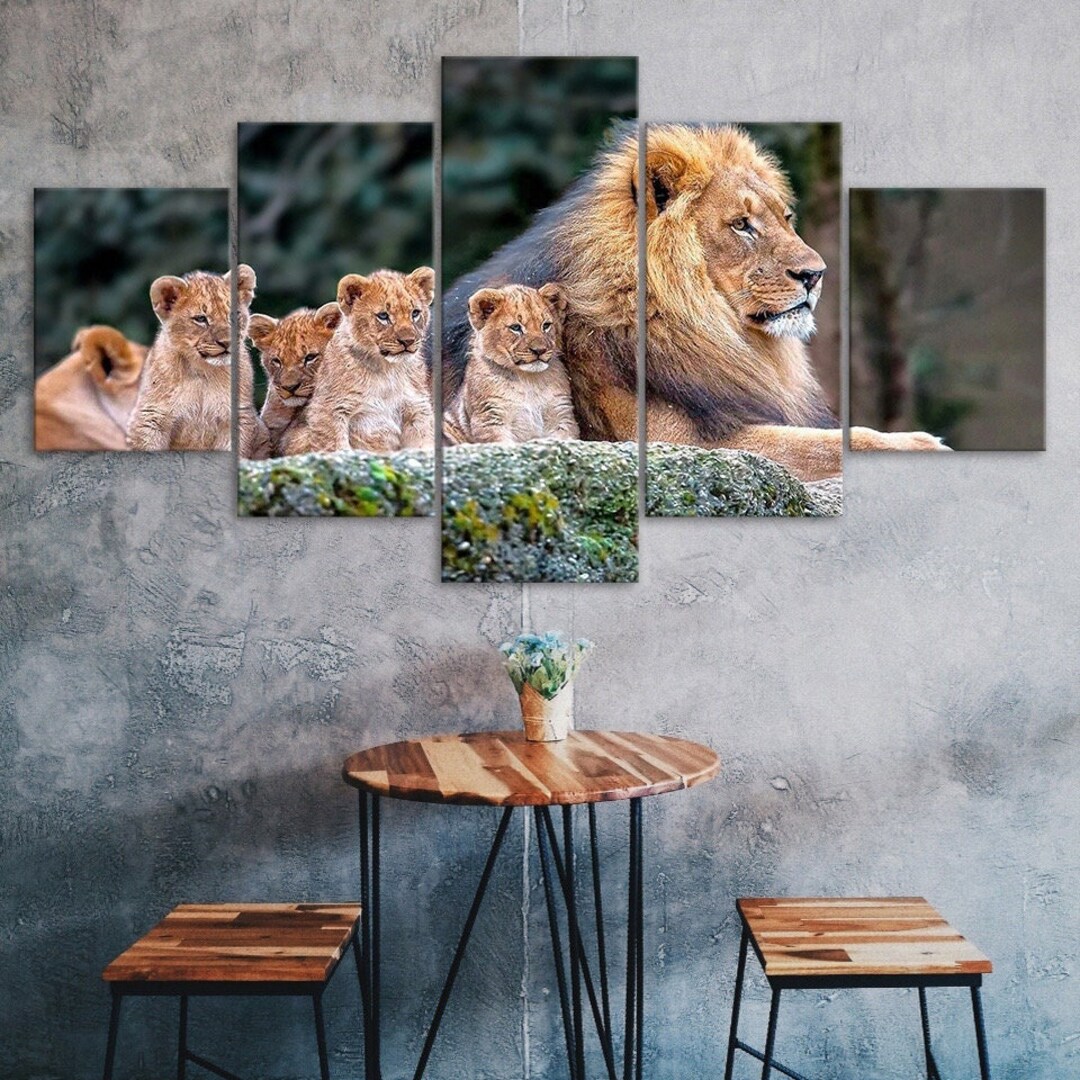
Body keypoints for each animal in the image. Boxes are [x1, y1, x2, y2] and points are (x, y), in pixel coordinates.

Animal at [126, 265, 262, 454]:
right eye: (201, 319)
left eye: (234, 315)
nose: (226, 342)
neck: (203, 371)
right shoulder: (151, 417)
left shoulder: (238, 417)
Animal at [290, 267, 435, 454]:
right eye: (383, 316)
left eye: (415, 313)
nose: (408, 341)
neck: (387, 371)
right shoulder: (328, 409)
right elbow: (335, 446)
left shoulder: (417, 408)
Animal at [443, 282, 578, 445]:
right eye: (516, 328)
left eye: (546, 325)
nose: (539, 350)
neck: (529, 380)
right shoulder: (491, 418)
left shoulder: (561, 415)